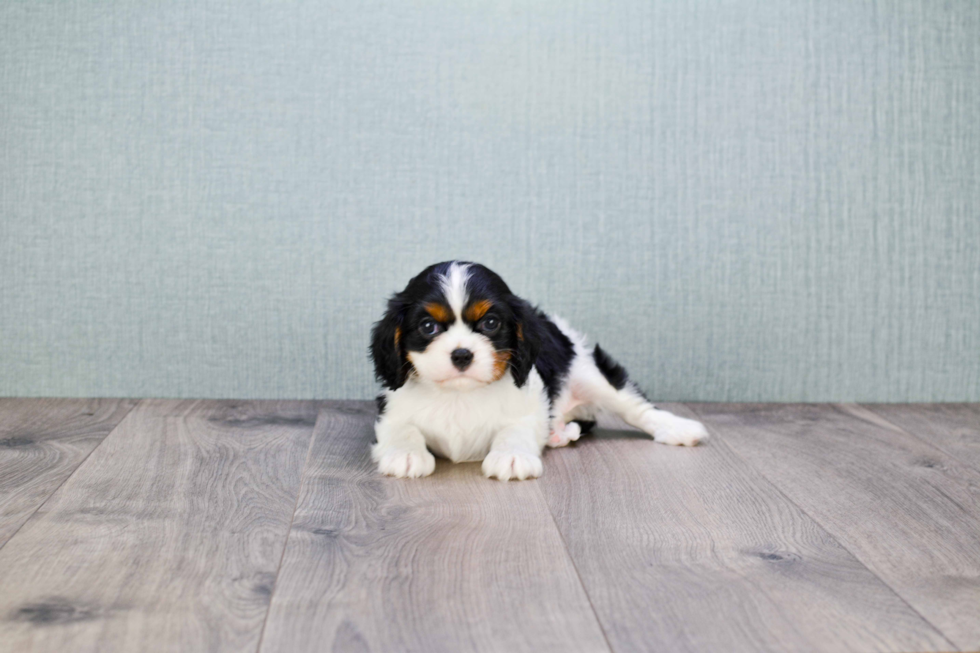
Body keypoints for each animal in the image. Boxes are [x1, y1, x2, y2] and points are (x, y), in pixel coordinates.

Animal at [368, 260, 704, 478]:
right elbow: (402, 428)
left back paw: (678, 428)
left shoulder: (528, 406)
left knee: (634, 407)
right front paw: (405, 454)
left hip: (586, 370)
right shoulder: (391, 409)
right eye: (428, 326)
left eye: (491, 323)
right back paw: (559, 434)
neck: (459, 394)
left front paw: (512, 456)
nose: (462, 354)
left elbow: (515, 429)